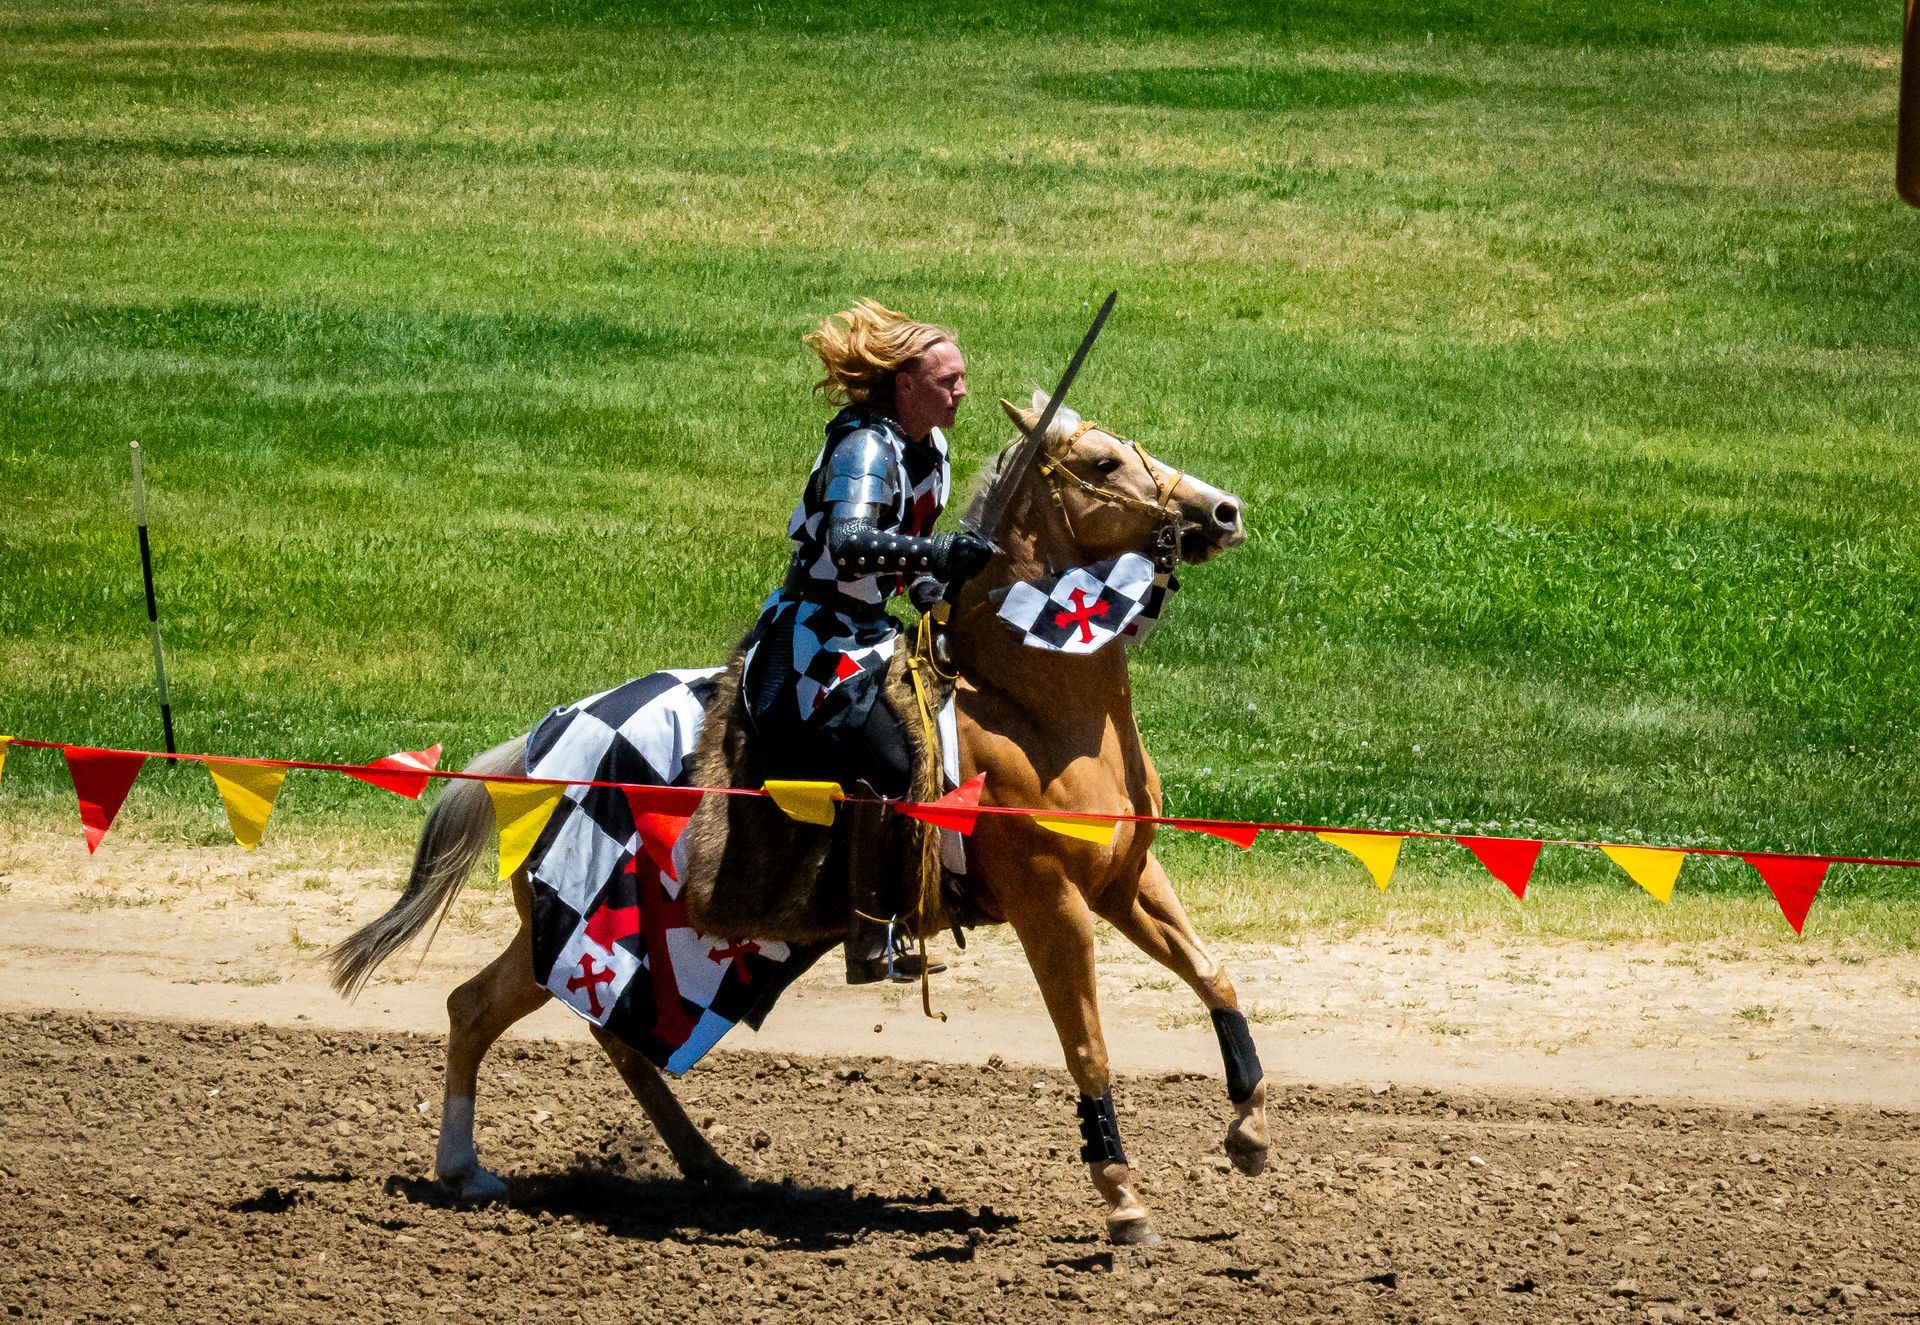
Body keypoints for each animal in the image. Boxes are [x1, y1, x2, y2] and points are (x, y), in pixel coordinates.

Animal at [327, 392, 1266, 1246]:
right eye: (1103, 462)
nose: (1223, 509)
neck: (1025, 710)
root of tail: (530, 750)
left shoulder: (1125, 882)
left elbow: (1214, 974)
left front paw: (1250, 1127)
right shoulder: (1051, 905)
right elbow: (1087, 1044)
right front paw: (1123, 1196)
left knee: (571, 1028)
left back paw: (704, 1165)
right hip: (578, 929)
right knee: (481, 1009)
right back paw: (467, 1168)